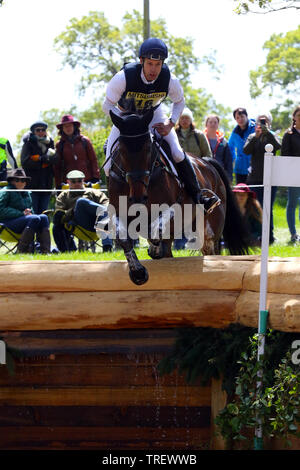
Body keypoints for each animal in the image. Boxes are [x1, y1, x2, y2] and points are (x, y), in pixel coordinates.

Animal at [106, 109, 250, 286]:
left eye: (148, 149)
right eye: (122, 151)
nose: (138, 197)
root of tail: (207, 162)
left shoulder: (175, 208)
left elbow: (158, 227)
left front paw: (152, 248)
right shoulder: (118, 213)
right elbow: (123, 237)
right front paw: (138, 272)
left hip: (210, 230)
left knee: (209, 249)